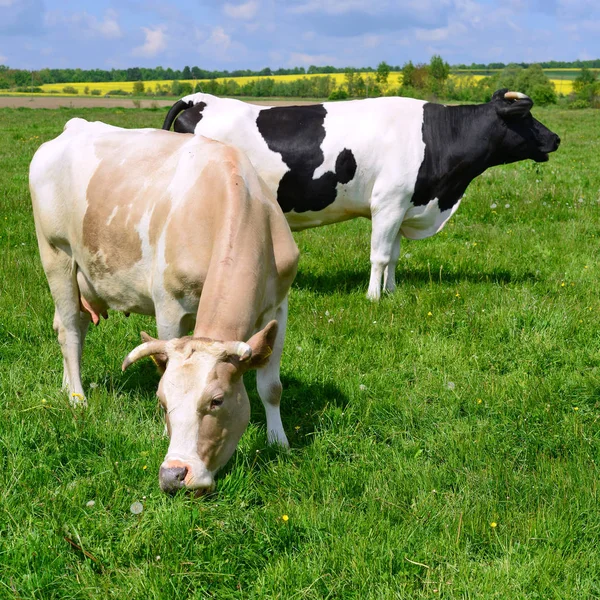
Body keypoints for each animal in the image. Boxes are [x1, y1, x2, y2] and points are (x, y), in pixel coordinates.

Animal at [29, 119, 298, 494]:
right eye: (162, 402)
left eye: (217, 400)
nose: (173, 475)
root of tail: (72, 126)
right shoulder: (170, 306)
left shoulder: (279, 307)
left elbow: (271, 388)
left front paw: (278, 441)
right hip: (56, 255)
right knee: (69, 330)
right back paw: (77, 398)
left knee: (70, 327)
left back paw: (67, 385)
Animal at [162, 88, 560, 300]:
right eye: (525, 117)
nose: (556, 138)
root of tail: (200, 99)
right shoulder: (388, 203)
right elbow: (379, 256)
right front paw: (373, 297)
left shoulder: (402, 206)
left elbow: (395, 256)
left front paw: (392, 292)